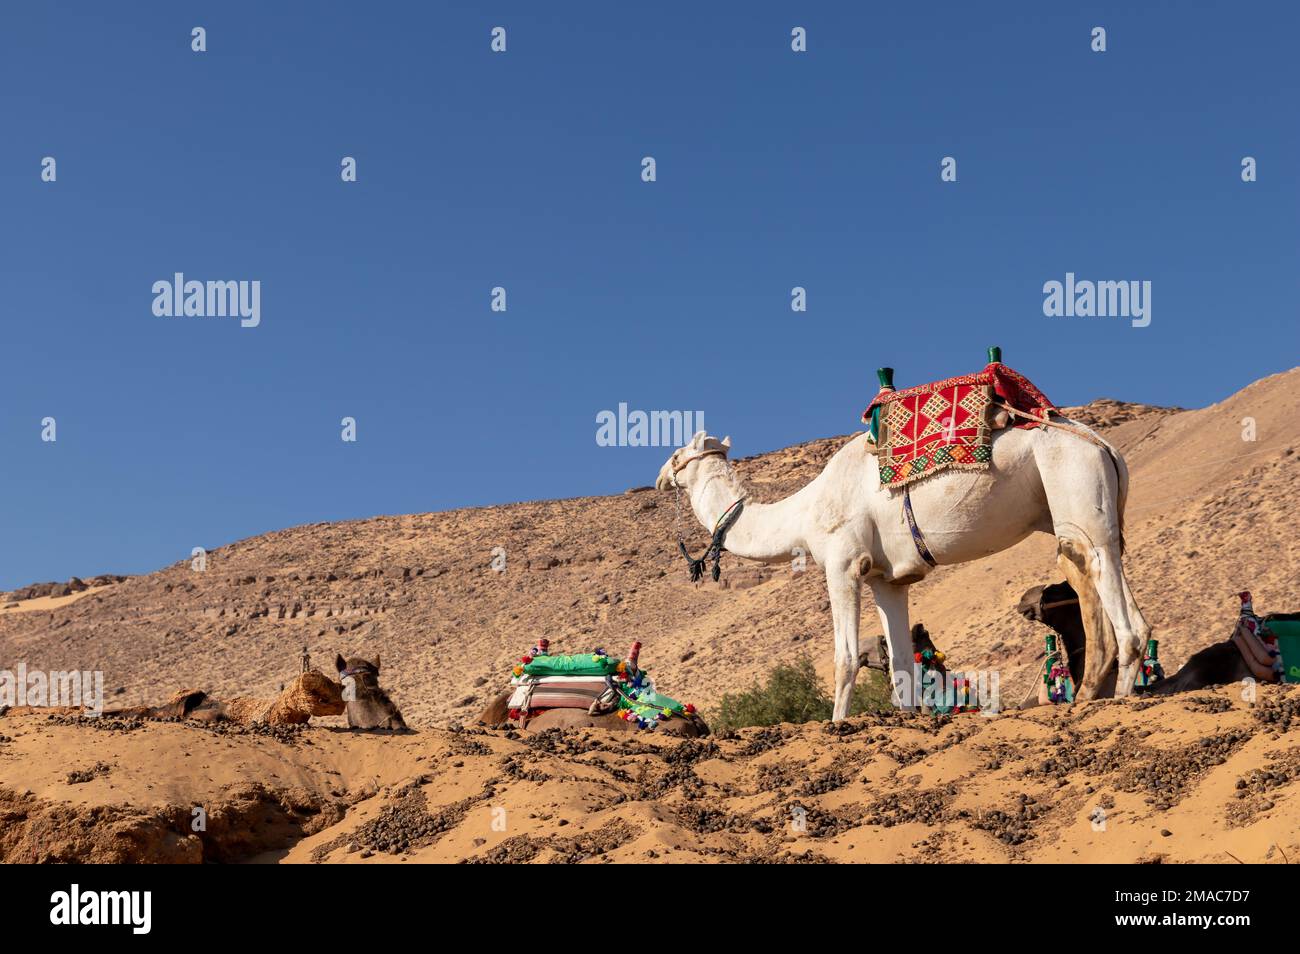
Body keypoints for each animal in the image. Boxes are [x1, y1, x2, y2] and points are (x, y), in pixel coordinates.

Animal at [657, 427, 1151, 720]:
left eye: (678, 453)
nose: (661, 476)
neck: (804, 512)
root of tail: (1106, 447)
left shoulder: (843, 562)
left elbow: (844, 657)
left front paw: (838, 724)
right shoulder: (886, 578)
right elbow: (898, 664)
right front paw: (908, 718)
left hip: (1075, 487)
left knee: (1096, 570)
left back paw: (1118, 696)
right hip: (1085, 508)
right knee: (1105, 572)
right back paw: (1094, 692)